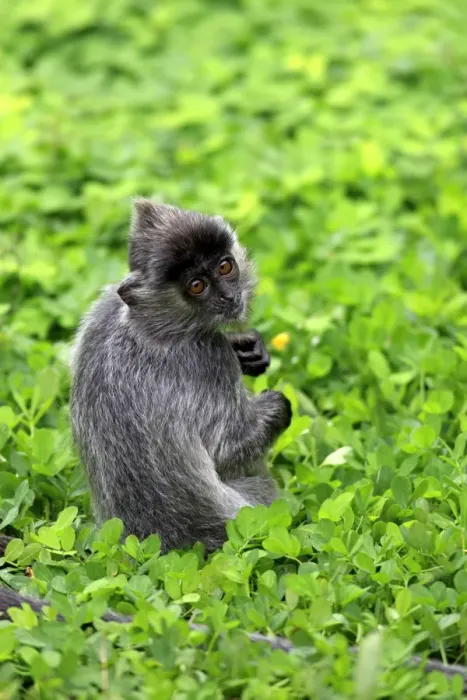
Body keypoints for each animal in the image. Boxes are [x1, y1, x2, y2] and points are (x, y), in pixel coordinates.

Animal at [69, 200, 292, 552]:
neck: (145, 326)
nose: (228, 297)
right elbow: (225, 454)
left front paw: (248, 349)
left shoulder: (104, 309)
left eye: (225, 267)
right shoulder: (208, 358)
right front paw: (277, 404)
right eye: (197, 286)